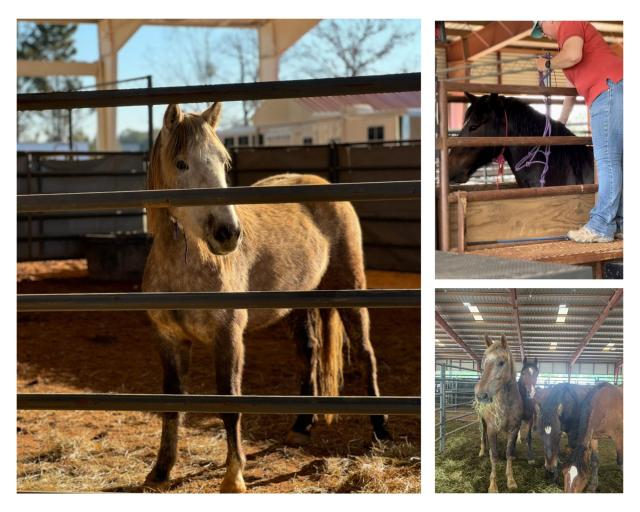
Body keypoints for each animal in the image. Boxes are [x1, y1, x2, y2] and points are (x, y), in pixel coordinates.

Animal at [141, 102, 391, 493]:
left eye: (224, 163)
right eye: (181, 164)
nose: (228, 233)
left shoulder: (228, 338)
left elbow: (229, 403)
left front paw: (234, 477)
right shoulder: (169, 340)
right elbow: (171, 403)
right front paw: (161, 470)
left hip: (350, 286)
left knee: (366, 353)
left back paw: (380, 429)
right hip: (301, 301)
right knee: (310, 354)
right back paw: (301, 425)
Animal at [474, 335, 523, 492]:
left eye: (502, 362)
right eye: (484, 362)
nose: (481, 395)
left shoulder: (514, 430)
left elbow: (509, 453)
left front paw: (511, 480)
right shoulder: (492, 429)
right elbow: (494, 456)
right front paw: (493, 485)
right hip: (482, 422)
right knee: (482, 435)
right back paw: (482, 451)